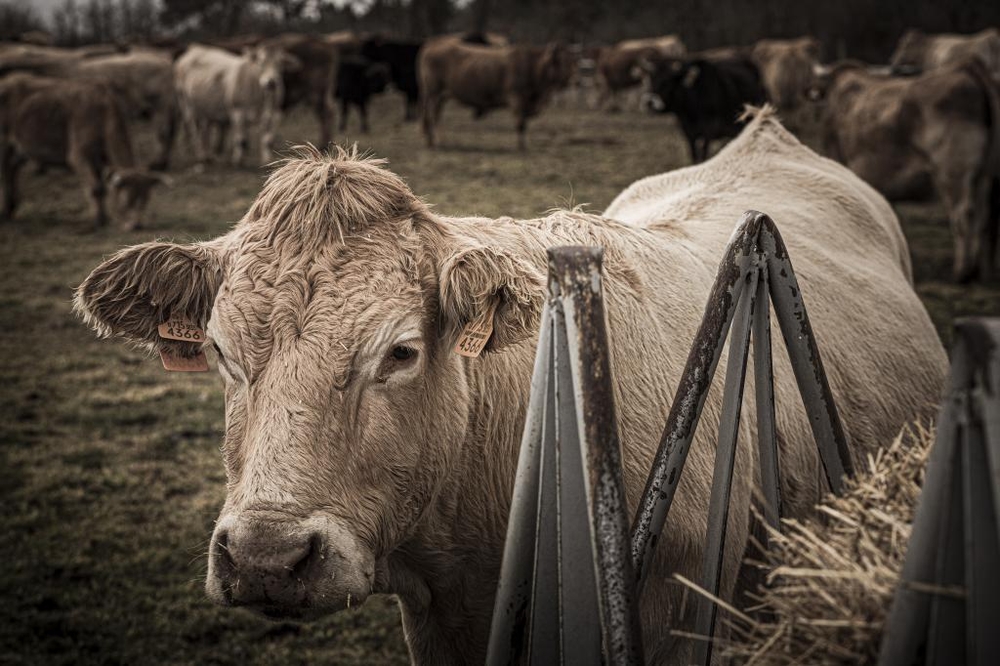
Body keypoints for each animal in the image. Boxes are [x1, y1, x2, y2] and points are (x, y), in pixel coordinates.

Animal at [0, 73, 168, 228]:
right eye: (127, 201)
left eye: (146, 199)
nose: (136, 225)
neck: (103, 113)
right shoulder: (78, 156)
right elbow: (96, 187)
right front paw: (98, 220)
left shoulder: (100, 161)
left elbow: (102, 188)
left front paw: (104, 217)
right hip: (5, 143)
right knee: (6, 171)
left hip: (20, 149)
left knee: (11, 170)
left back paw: (11, 207)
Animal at [418, 38, 576, 150]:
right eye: (562, 62)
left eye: (572, 62)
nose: (575, 80)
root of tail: (432, 45)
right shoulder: (516, 98)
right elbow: (521, 124)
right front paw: (521, 146)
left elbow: (524, 123)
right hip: (434, 94)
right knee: (432, 116)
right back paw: (437, 142)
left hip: (440, 97)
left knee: (433, 116)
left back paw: (433, 141)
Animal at [636, 50, 768, 162]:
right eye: (649, 80)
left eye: (667, 81)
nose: (649, 102)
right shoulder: (688, 133)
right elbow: (694, 156)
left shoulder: (708, 131)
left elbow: (703, 155)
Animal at [816, 57, 996, 282]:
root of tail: (967, 67)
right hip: (983, 175)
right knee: (983, 217)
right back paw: (982, 272)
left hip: (953, 173)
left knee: (964, 214)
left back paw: (963, 271)